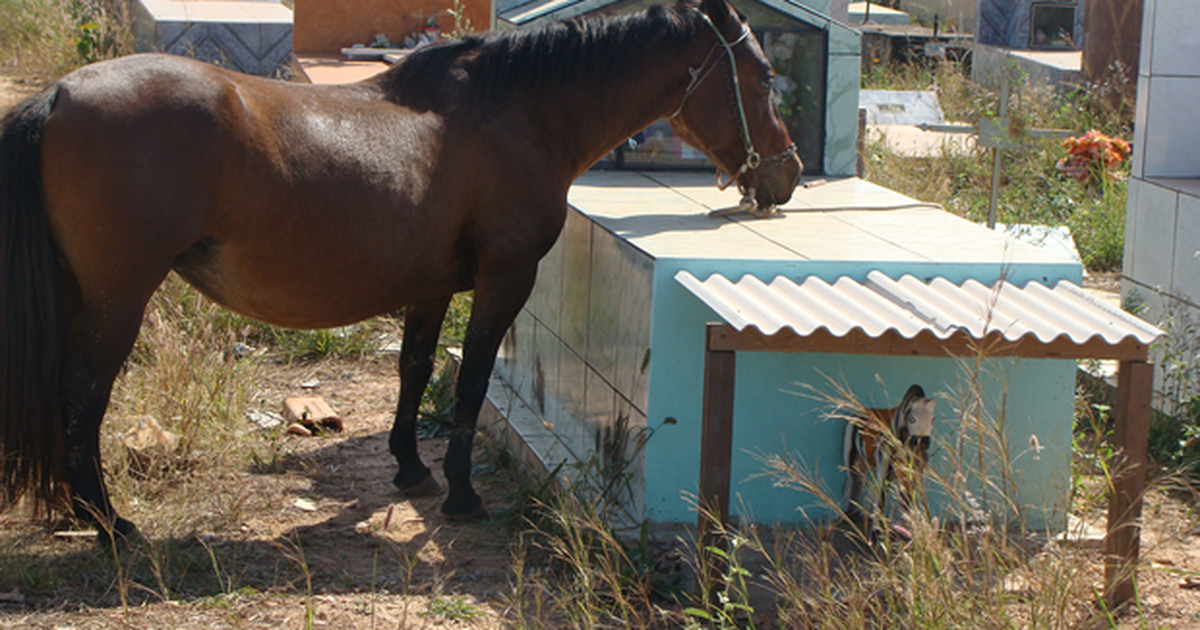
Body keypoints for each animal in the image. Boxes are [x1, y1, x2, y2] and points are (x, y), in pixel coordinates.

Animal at [4, 0, 801, 540]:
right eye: (763, 76)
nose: (787, 174)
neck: (513, 115)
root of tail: (62, 94)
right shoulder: (504, 280)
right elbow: (471, 380)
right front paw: (461, 495)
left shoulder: (430, 287)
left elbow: (414, 368)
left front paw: (410, 467)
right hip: (117, 299)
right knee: (82, 395)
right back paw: (108, 522)